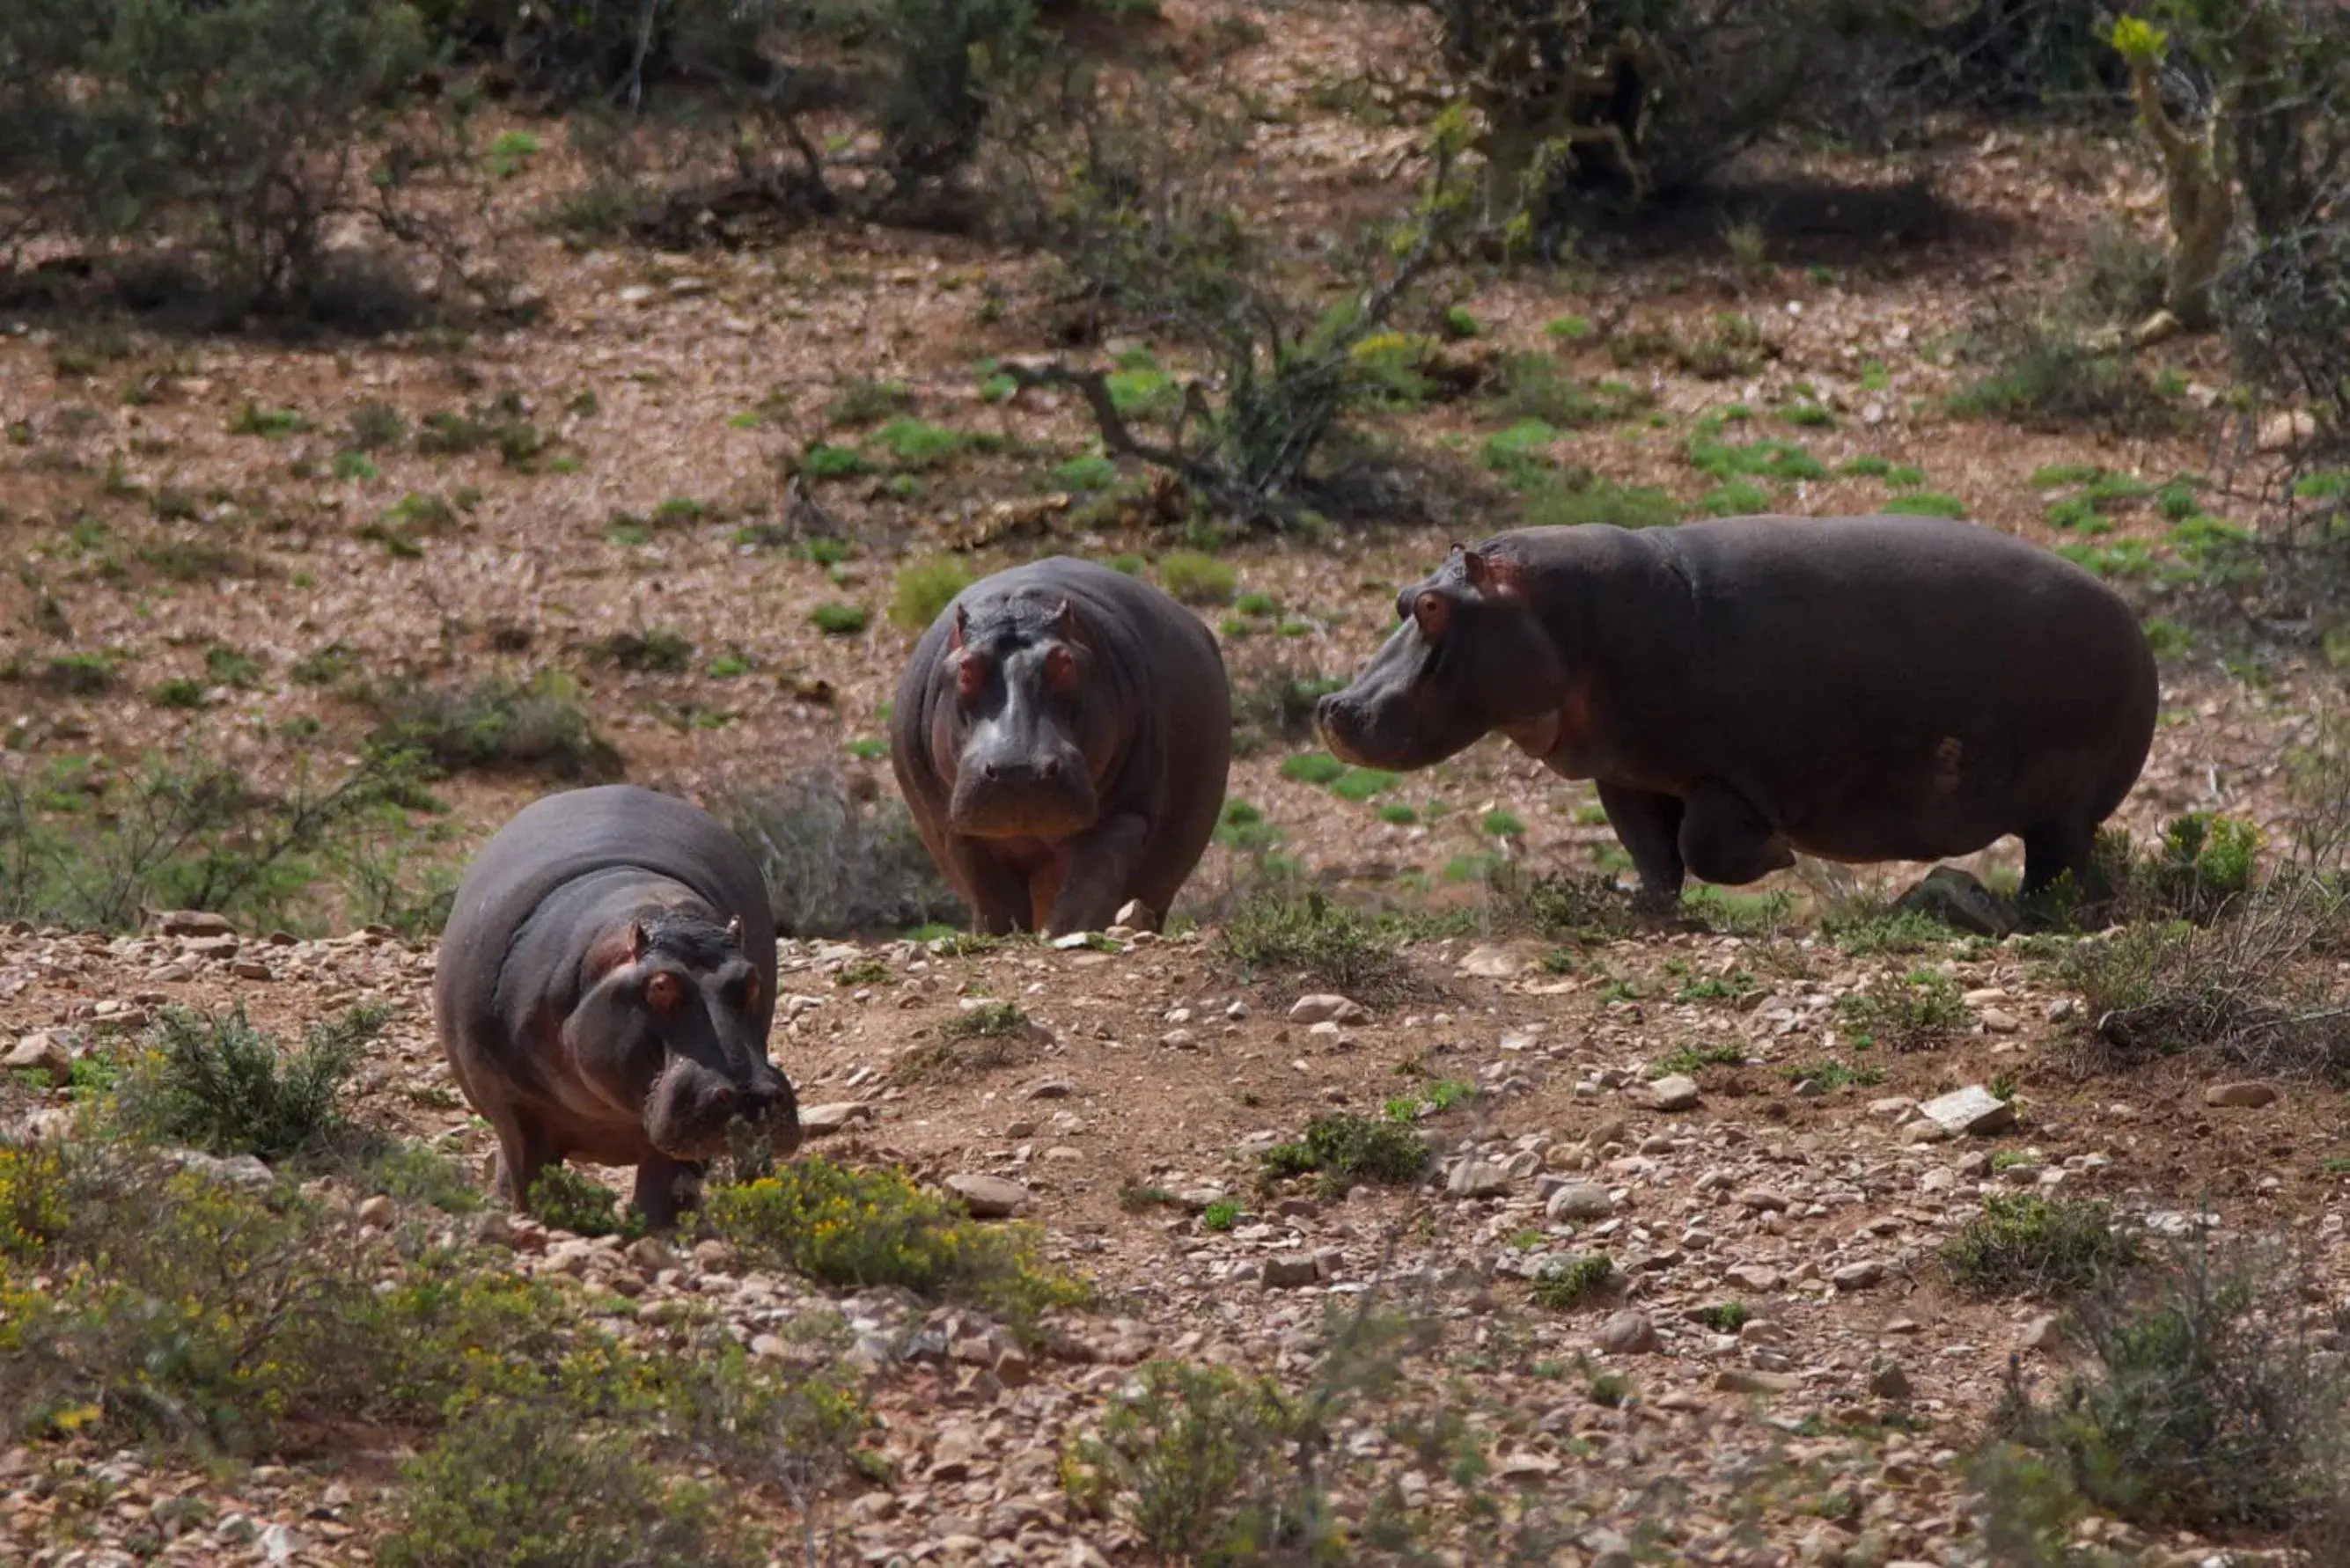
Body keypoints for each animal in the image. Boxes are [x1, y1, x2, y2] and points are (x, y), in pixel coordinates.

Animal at [437, 785, 804, 1222]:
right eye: (660, 987)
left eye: (751, 980)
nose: (753, 1097)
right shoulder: (513, 1104)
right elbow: (530, 1173)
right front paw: (536, 1218)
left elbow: (665, 1186)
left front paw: (659, 1227)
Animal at [888, 557, 1240, 940]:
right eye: (967, 667)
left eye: (1066, 662)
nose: (1018, 770)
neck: (1019, 608)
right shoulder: (957, 831)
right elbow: (993, 900)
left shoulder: (1127, 812)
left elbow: (1092, 880)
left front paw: (1066, 932)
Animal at [1316, 515, 2152, 907]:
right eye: (1402, 597)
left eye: (1433, 607)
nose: (1333, 707)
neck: (1563, 617)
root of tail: (2133, 619)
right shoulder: (1626, 771)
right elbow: (1652, 854)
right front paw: (1636, 903)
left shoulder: (1733, 776)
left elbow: (1707, 845)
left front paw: (1779, 858)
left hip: (2064, 809)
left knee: (2057, 866)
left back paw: (2025, 911)